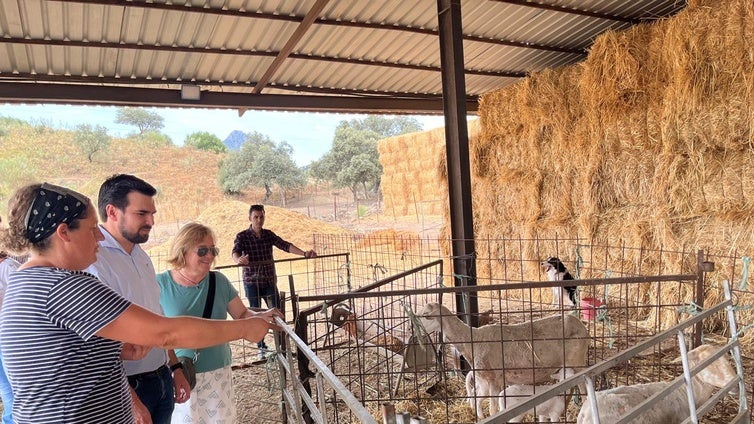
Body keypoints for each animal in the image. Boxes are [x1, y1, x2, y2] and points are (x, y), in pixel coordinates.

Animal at [418, 302, 588, 418]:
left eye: (426, 315)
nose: (412, 331)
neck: (473, 340)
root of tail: (580, 325)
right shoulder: (487, 380)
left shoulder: (494, 379)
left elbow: (493, 409)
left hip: (578, 362)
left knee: (584, 391)